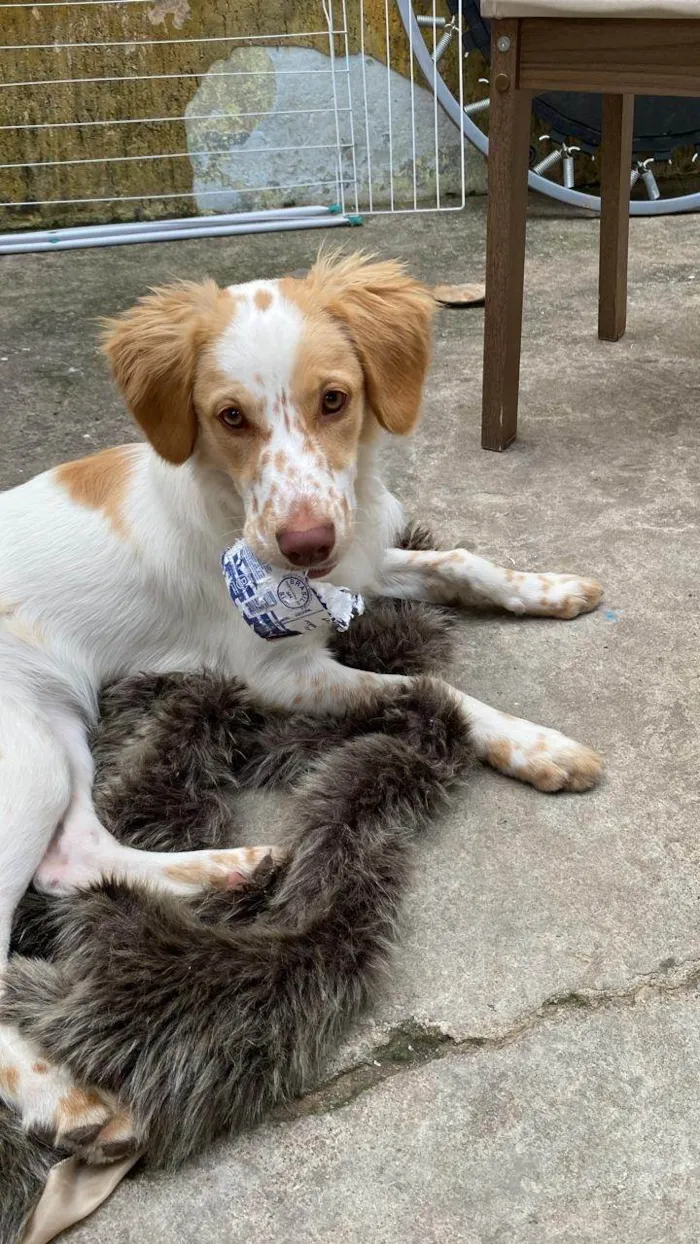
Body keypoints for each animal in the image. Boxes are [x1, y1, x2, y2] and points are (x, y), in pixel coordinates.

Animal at [0, 250, 601, 1154]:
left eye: (335, 400)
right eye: (229, 417)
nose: (306, 546)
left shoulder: (357, 565)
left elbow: (462, 561)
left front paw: (549, 588)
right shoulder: (276, 672)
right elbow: (440, 690)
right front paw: (534, 745)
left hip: (53, 729)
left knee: (72, 856)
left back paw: (231, 867)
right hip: (22, 757)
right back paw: (53, 1089)